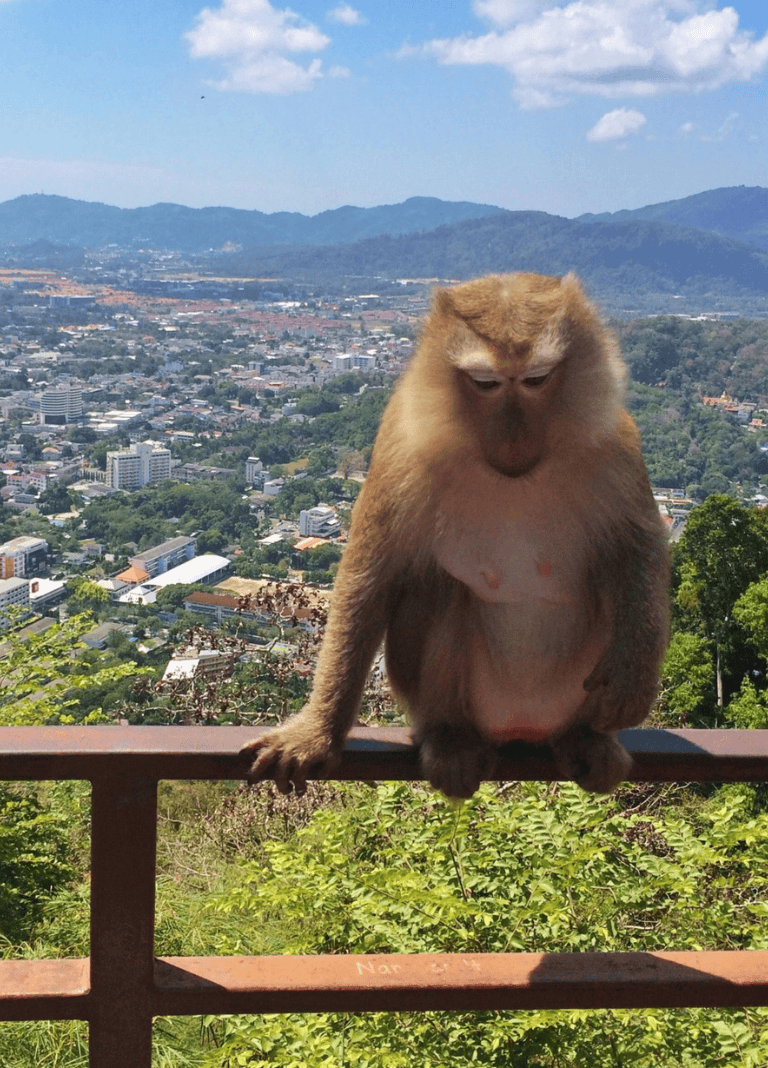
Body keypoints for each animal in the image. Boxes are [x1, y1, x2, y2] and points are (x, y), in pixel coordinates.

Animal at [241, 271, 670, 800]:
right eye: (485, 383)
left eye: (536, 379)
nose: (513, 435)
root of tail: (522, 729)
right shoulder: (401, 444)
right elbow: (368, 580)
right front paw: (316, 732)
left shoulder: (613, 440)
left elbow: (638, 546)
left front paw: (634, 676)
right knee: (438, 589)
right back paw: (449, 738)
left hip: (568, 695)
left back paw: (585, 737)